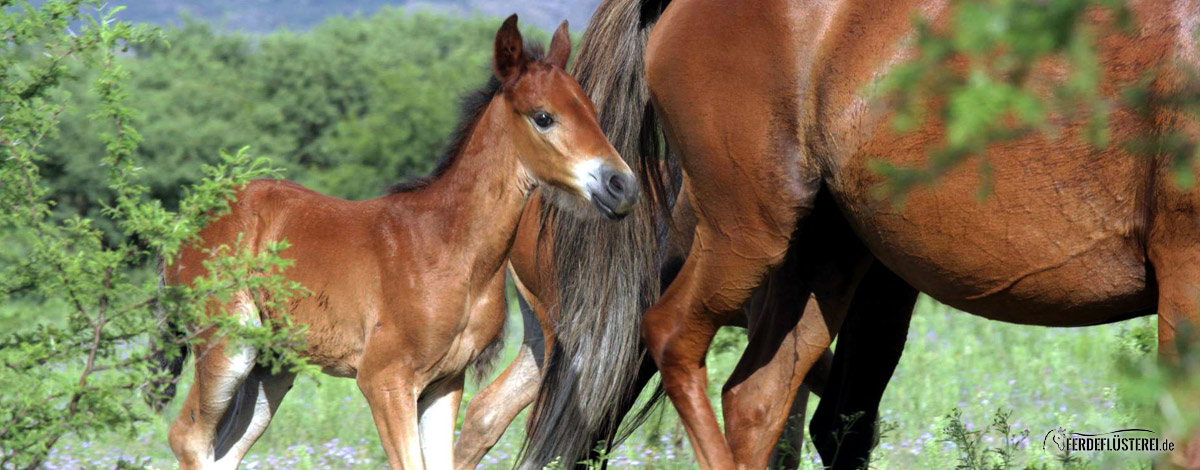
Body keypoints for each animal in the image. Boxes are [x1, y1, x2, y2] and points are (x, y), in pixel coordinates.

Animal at [164, 16, 643, 467]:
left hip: (271, 367)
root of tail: (188, 226)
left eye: (592, 111)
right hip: (227, 347)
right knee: (188, 438)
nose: (622, 185)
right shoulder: (384, 379)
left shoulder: (445, 383)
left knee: (225, 451)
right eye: (543, 117)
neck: (451, 247)